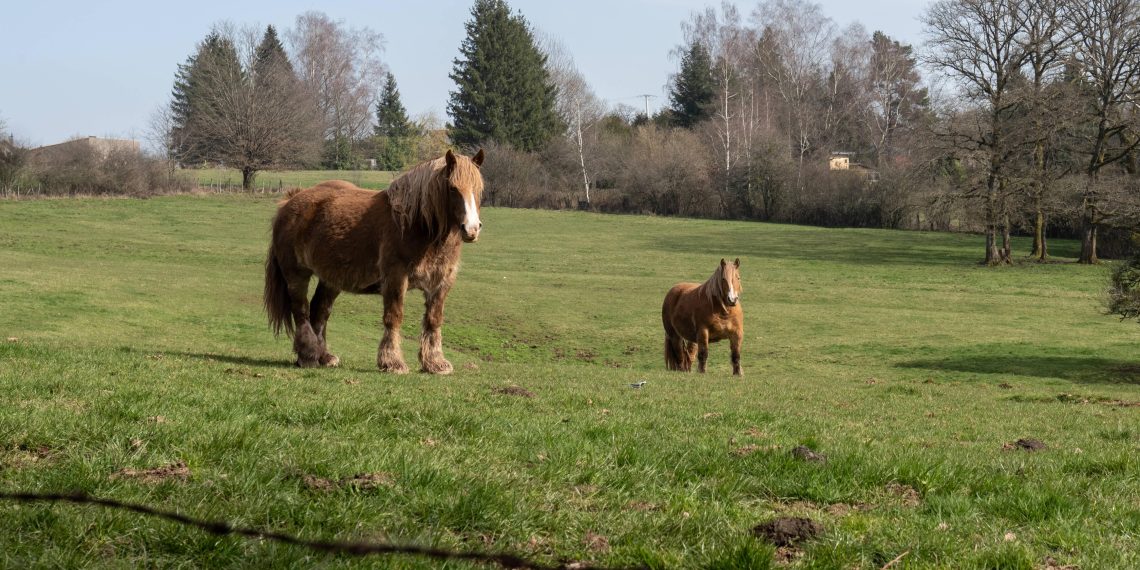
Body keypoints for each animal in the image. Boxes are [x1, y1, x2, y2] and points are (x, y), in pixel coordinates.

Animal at [263, 149, 485, 374]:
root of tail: (289, 201)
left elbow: (434, 319)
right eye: (453, 188)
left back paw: (323, 356)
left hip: (331, 279)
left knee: (320, 311)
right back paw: (308, 355)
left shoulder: (441, 282)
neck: (415, 224)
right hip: (296, 274)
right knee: (301, 310)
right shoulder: (396, 277)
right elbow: (394, 317)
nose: (471, 229)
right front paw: (392, 362)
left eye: (479, 189)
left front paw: (435, 363)